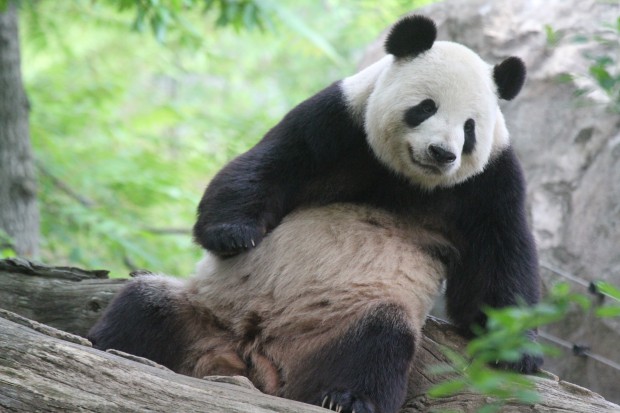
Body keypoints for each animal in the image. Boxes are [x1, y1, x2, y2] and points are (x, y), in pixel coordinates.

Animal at [88, 14, 544, 412]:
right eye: (425, 107)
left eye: (470, 129)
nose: (441, 153)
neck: (407, 179)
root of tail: (246, 356)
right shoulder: (339, 120)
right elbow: (266, 166)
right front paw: (232, 234)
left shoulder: (489, 184)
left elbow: (497, 261)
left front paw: (518, 353)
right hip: (205, 306)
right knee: (145, 305)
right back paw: (107, 345)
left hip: (338, 323)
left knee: (378, 343)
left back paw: (348, 398)